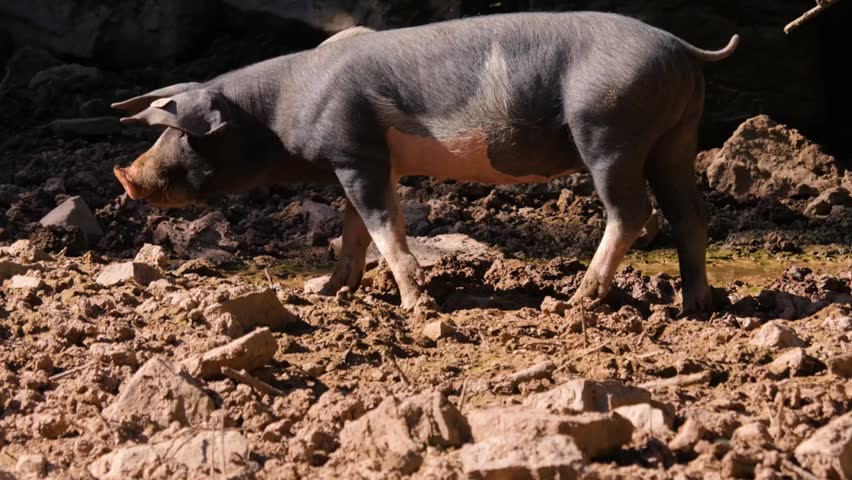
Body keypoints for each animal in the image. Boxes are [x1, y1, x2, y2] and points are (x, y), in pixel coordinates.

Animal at [112, 12, 739, 313]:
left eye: (180, 135)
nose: (126, 177)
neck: (279, 111)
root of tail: (683, 47)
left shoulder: (355, 153)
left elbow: (385, 230)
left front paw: (417, 308)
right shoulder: (364, 161)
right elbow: (354, 232)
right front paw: (326, 292)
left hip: (609, 130)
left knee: (633, 212)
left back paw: (572, 303)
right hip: (675, 136)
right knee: (690, 215)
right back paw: (697, 306)